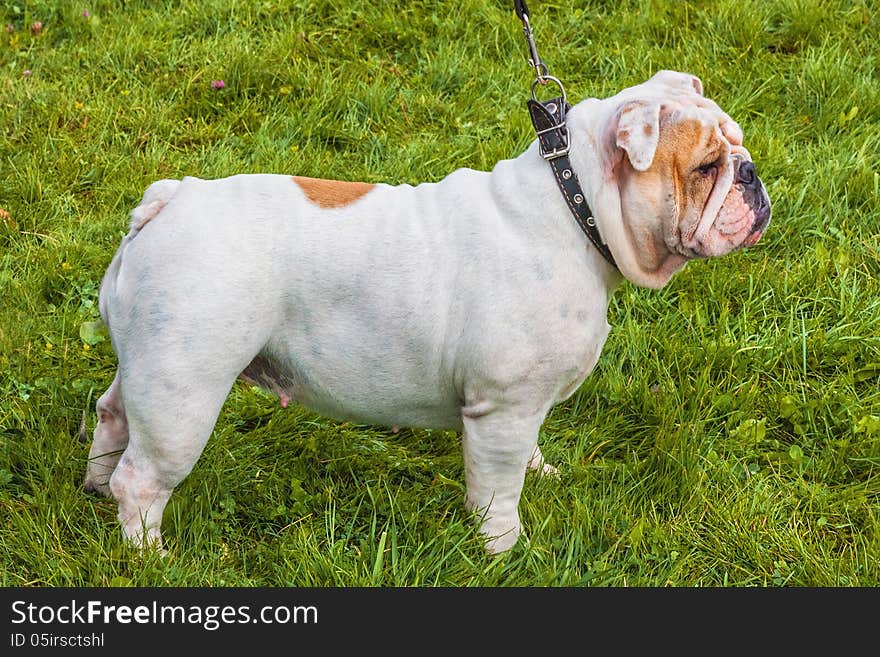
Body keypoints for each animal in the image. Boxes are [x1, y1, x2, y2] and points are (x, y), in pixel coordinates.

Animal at [84, 70, 768, 552]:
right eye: (706, 166)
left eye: (737, 145)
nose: (751, 175)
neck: (578, 209)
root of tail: (171, 200)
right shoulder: (502, 410)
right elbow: (498, 489)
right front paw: (504, 550)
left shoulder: (525, 407)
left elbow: (527, 452)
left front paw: (540, 472)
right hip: (183, 392)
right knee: (142, 478)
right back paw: (151, 556)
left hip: (147, 370)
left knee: (113, 414)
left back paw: (94, 488)